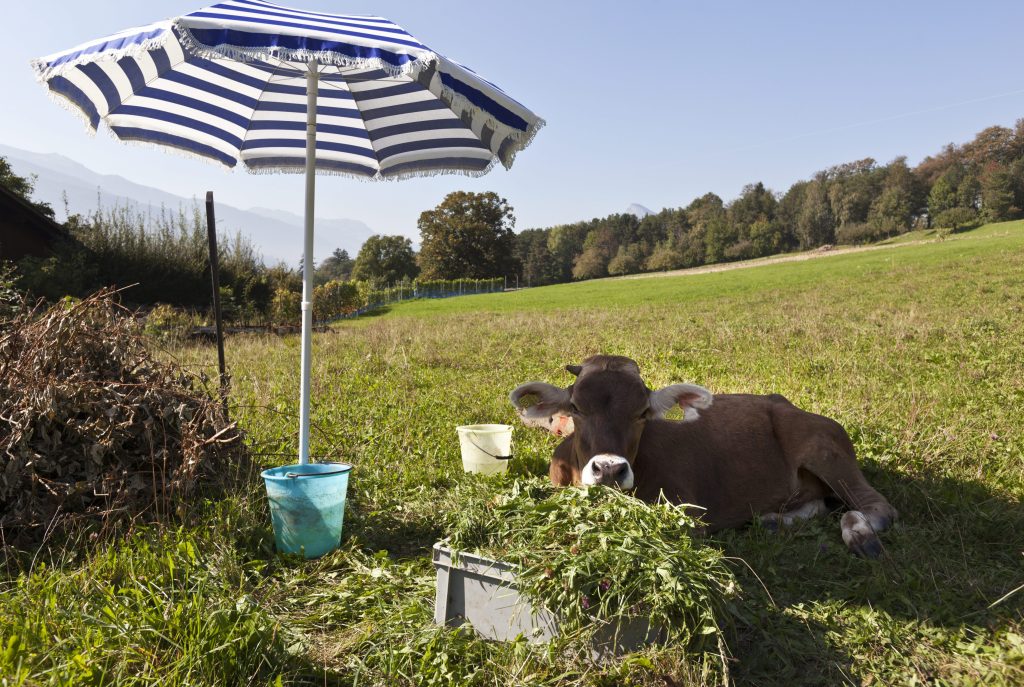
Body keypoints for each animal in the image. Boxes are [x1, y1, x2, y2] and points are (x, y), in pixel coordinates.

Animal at [509, 358, 897, 556]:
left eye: (643, 412)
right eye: (575, 407)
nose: (608, 469)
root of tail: (786, 403)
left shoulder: (689, 513)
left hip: (826, 450)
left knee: (877, 505)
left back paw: (860, 534)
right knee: (815, 504)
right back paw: (773, 520)